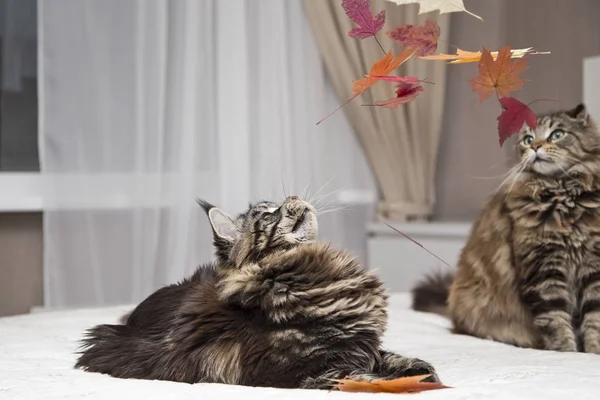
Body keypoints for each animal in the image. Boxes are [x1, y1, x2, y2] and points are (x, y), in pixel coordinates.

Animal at [76, 195, 440, 390]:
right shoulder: (318, 370)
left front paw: (423, 373)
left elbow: (401, 360)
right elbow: (369, 380)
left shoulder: (364, 345)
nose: (295, 197)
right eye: (268, 213)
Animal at [414, 103, 600, 354]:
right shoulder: (543, 270)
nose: (536, 147)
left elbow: (594, 319)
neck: (562, 197)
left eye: (557, 134)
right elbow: (555, 321)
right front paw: (567, 353)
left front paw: (593, 351)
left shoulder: (593, 268)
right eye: (528, 139)